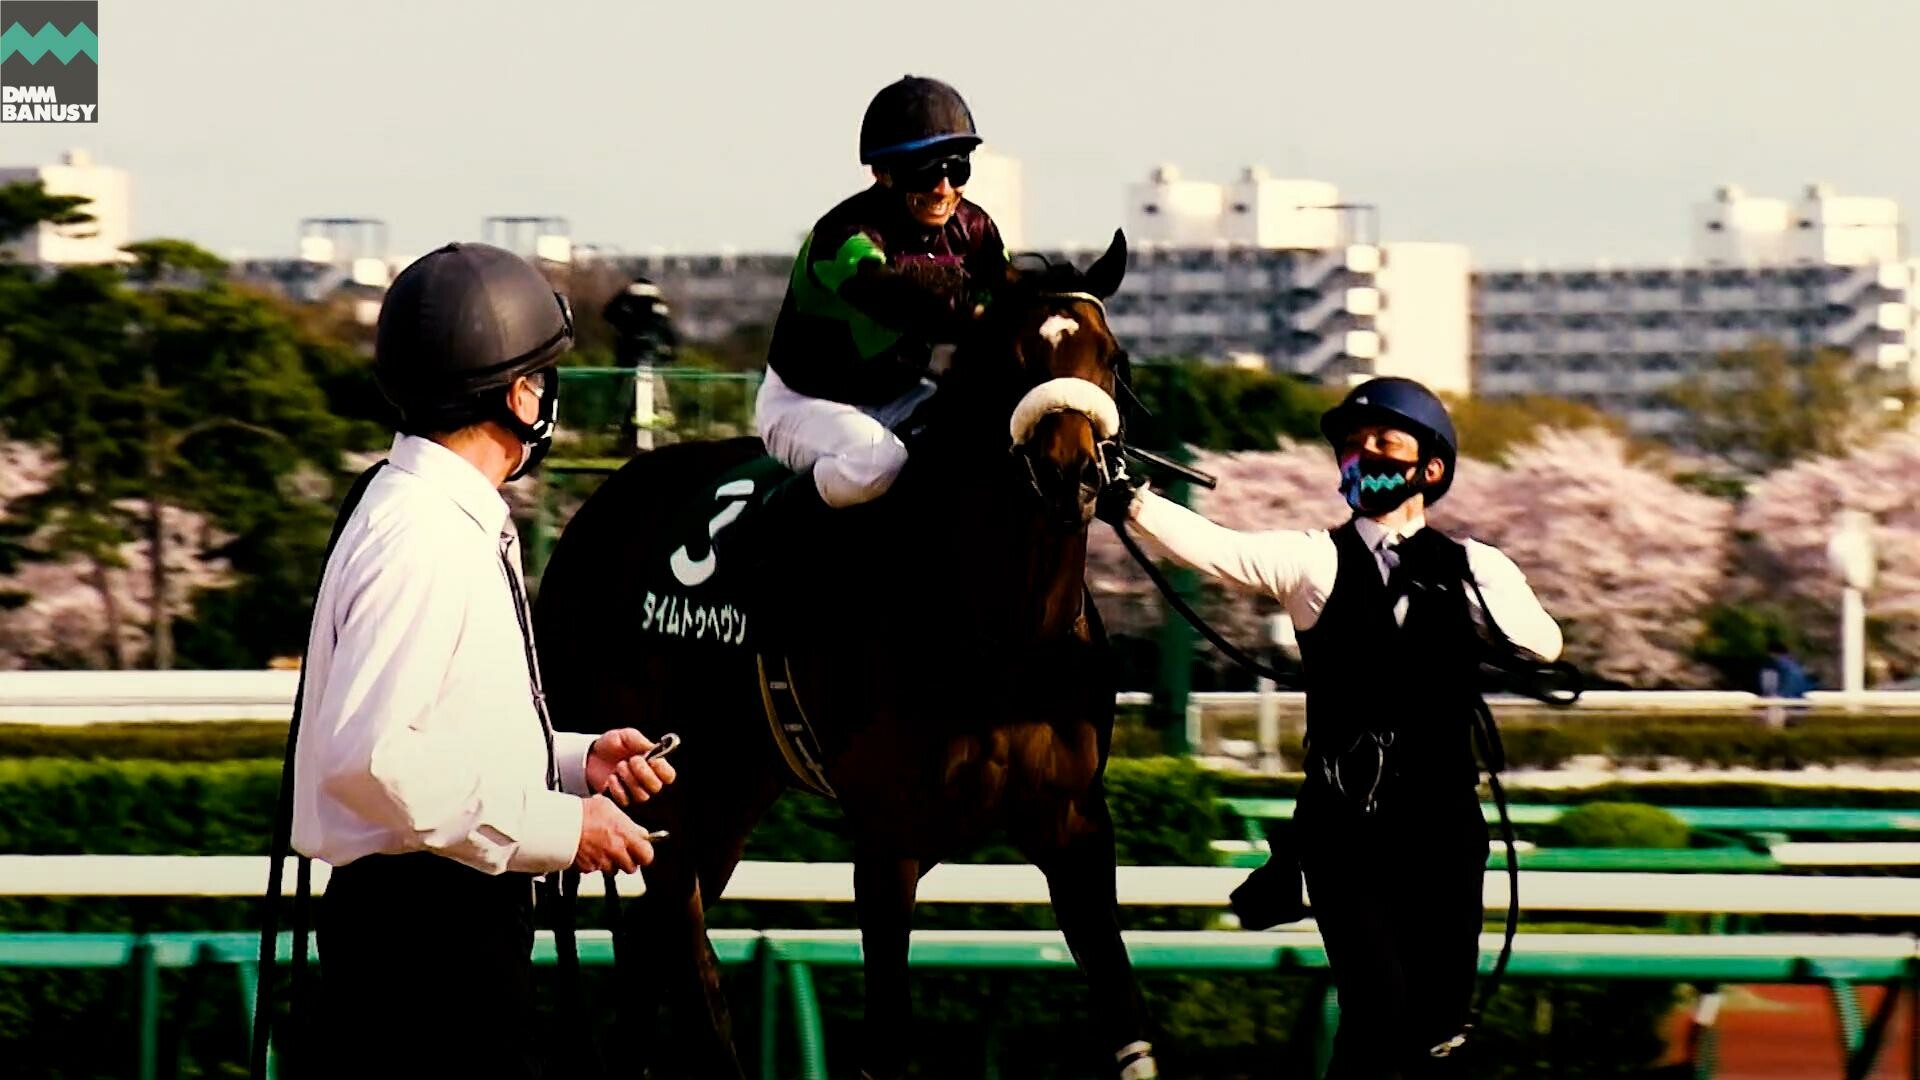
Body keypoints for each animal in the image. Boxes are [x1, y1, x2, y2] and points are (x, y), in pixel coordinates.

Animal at [529, 228, 1152, 1076]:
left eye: (1111, 359)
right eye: (1014, 357)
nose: (1072, 474)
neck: (1003, 640)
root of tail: (593, 513)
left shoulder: (1075, 825)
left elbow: (1128, 1020)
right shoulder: (891, 835)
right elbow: (884, 1038)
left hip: (724, 788)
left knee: (666, 944)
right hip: (655, 774)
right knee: (672, 939)